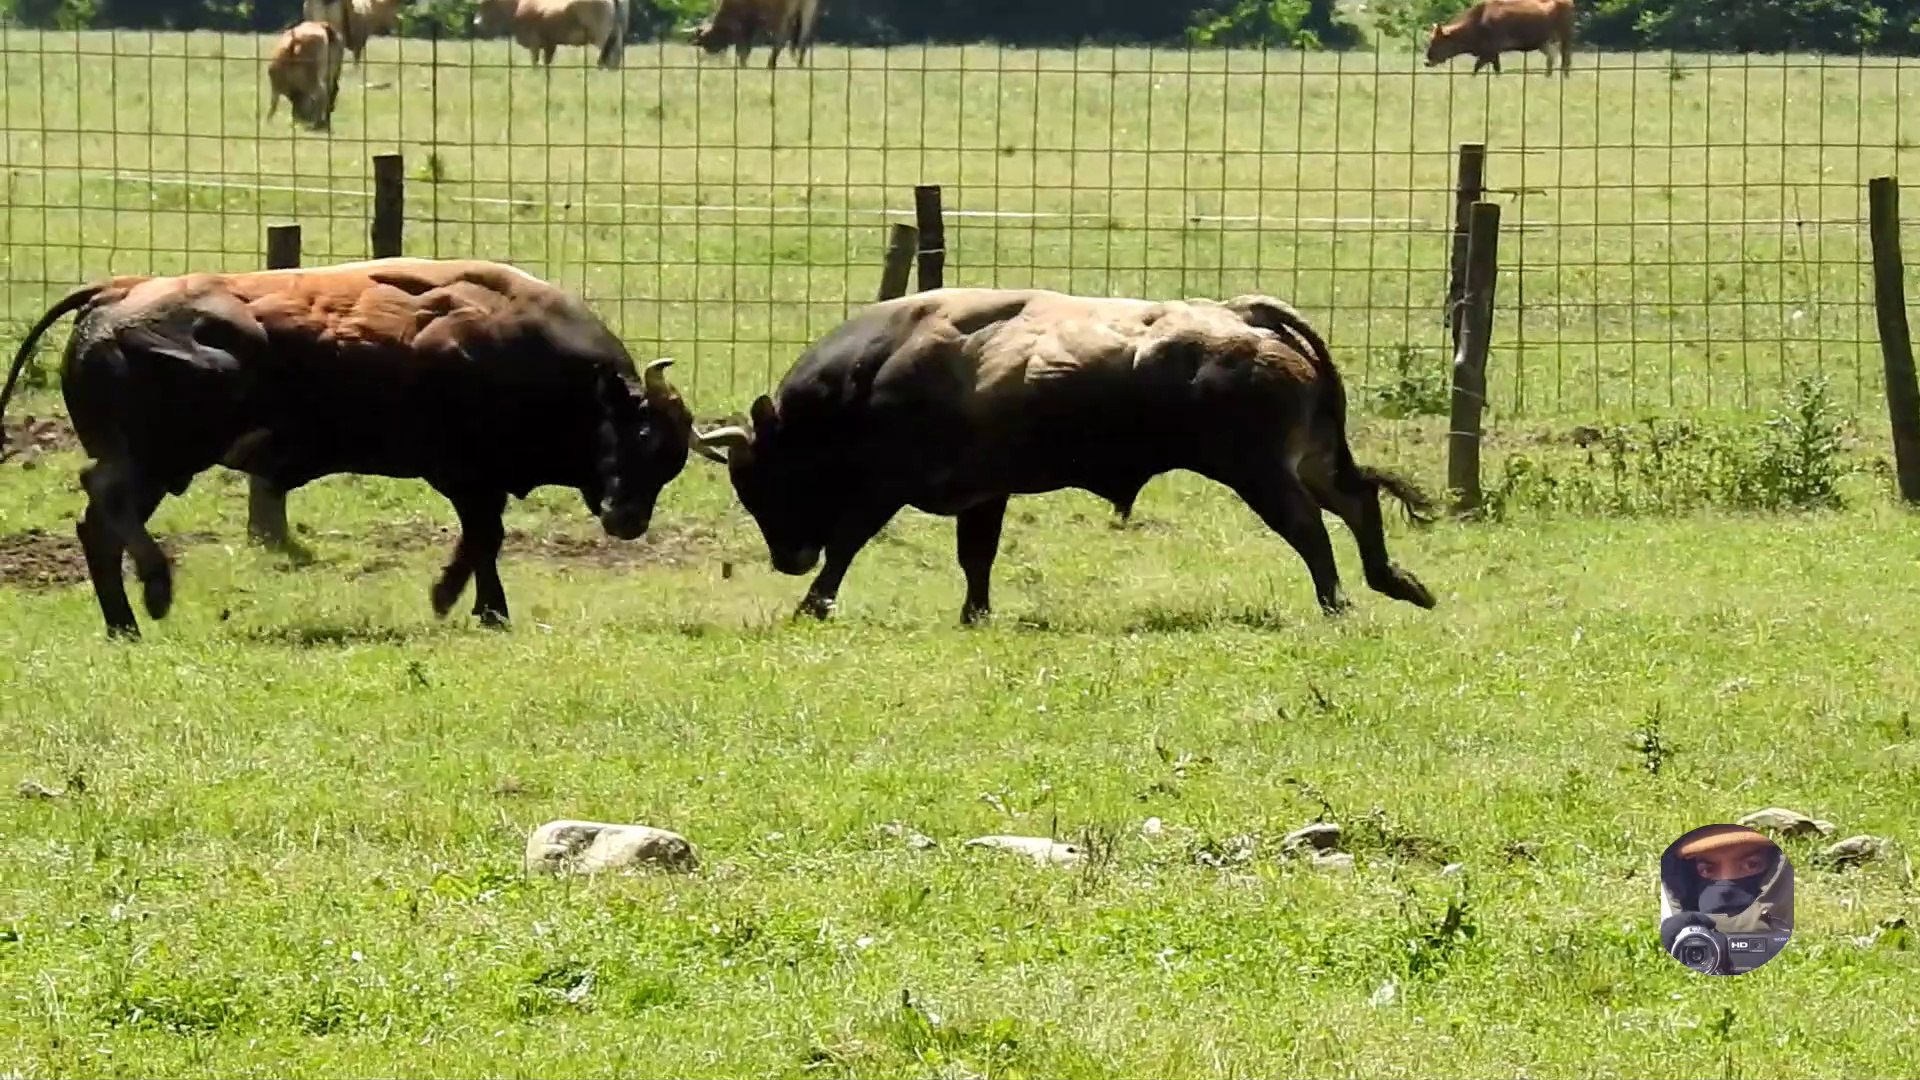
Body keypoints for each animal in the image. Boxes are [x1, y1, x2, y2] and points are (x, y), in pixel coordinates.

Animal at [0, 255, 702, 634]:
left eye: (672, 461)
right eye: (639, 434)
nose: (627, 519)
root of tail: (121, 290)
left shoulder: (482, 480)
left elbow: (486, 541)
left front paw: (486, 609)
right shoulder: (467, 476)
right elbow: (483, 538)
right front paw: (459, 600)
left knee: (99, 524)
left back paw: (124, 623)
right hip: (160, 459)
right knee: (107, 508)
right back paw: (154, 591)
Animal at [474, 0, 629, 69]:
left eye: (485, 4)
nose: (476, 22)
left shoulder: (534, 42)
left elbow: (535, 62)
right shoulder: (550, 44)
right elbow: (546, 62)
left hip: (600, 33)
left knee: (606, 54)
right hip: (617, 32)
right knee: (616, 53)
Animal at [695, 288, 1443, 622]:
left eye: (764, 481)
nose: (788, 560)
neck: (878, 367)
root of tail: (1241, 315)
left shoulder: (885, 488)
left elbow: (849, 543)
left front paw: (813, 604)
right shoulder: (984, 494)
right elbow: (977, 558)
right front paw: (975, 616)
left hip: (1261, 475)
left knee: (1311, 529)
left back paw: (1338, 602)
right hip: (1306, 463)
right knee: (1357, 503)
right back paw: (1396, 583)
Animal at [1428, 0, 1574, 77]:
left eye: (1437, 41)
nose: (1427, 61)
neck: (1478, 21)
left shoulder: (1489, 52)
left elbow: (1477, 68)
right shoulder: (1492, 53)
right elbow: (1496, 69)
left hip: (1564, 37)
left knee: (1565, 57)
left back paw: (1564, 76)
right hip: (1544, 42)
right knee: (1551, 58)